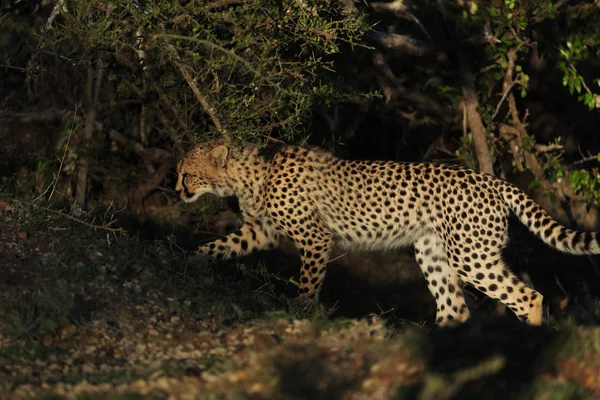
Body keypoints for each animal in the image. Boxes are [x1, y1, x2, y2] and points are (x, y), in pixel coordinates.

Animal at [175, 140, 600, 324]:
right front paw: (187, 263)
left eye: (186, 173)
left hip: (470, 256)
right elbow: (218, 246)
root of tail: (489, 178)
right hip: (432, 253)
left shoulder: (315, 239)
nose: (177, 190)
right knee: (454, 308)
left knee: (527, 295)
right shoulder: (260, 233)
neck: (250, 176)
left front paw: (300, 313)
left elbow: (308, 283)